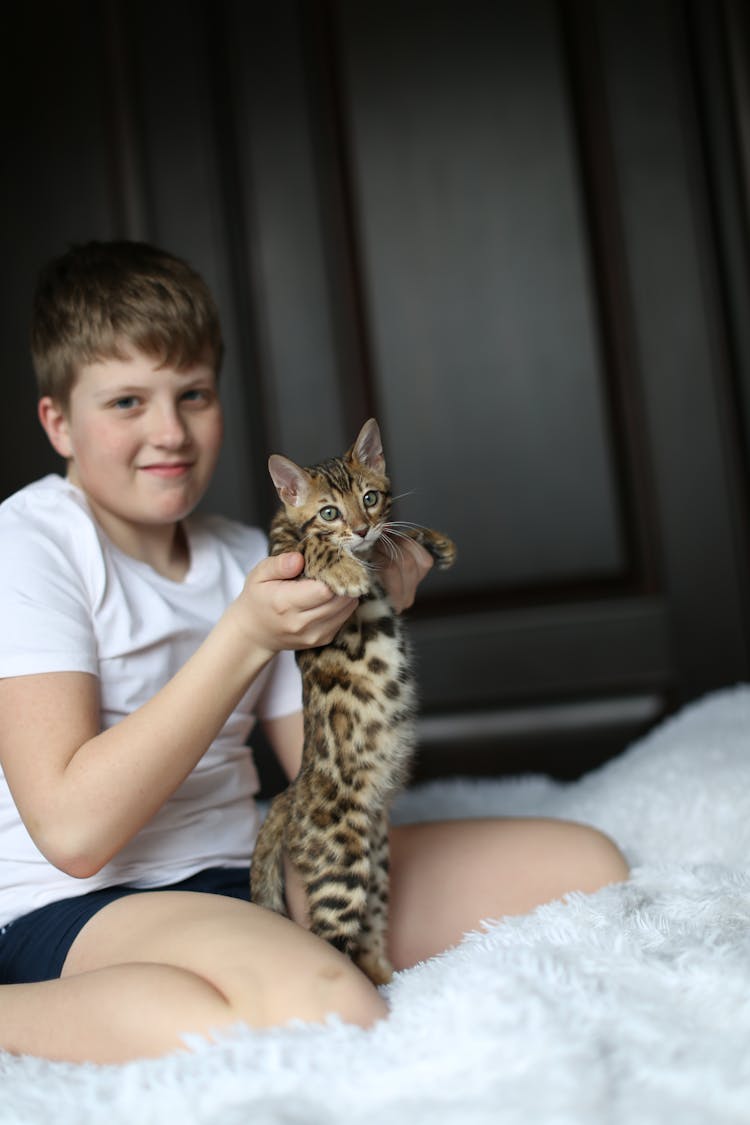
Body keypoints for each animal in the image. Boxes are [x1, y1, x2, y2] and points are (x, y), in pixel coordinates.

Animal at [249, 418, 454, 981]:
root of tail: (290, 796)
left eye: (370, 497)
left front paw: (434, 541)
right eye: (328, 512)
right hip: (340, 862)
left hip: (377, 862)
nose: (361, 530)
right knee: (325, 939)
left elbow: (398, 531)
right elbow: (308, 549)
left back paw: (392, 979)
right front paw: (343, 569)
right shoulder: (280, 552)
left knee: (365, 939)